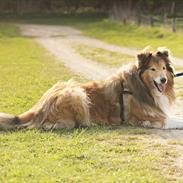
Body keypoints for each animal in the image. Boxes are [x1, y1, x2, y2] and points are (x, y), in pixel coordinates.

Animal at [0, 47, 183, 130]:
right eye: (153, 69)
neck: (144, 86)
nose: (163, 80)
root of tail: (39, 105)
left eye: (164, 68)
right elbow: (170, 120)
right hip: (77, 93)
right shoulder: (143, 118)